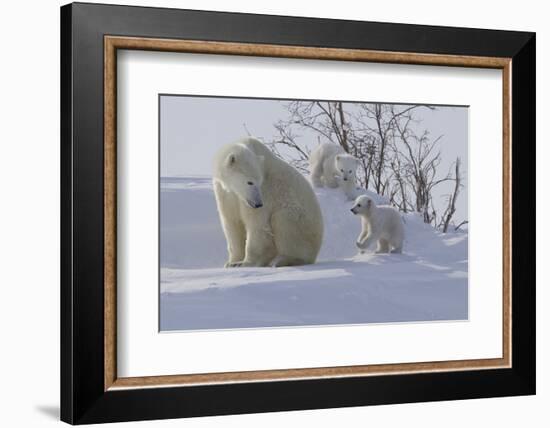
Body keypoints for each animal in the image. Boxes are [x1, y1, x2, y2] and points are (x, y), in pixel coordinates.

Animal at [211, 136, 324, 268]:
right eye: (250, 182)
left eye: (259, 181)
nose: (258, 204)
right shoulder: (225, 193)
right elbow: (232, 222)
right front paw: (232, 262)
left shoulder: (266, 192)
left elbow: (257, 224)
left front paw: (245, 263)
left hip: (303, 223)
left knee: (284, 222)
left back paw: (280, 260)